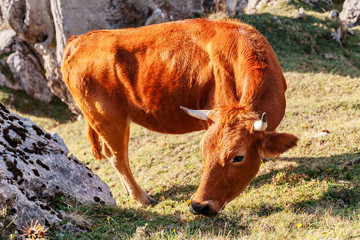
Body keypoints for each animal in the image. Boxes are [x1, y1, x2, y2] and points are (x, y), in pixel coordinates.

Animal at [61, 17, 298, 217]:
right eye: (203, 153)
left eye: (238, 157)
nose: (198, 206)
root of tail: (79, 40)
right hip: (108, 121)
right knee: (118, 157)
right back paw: (142, 197)